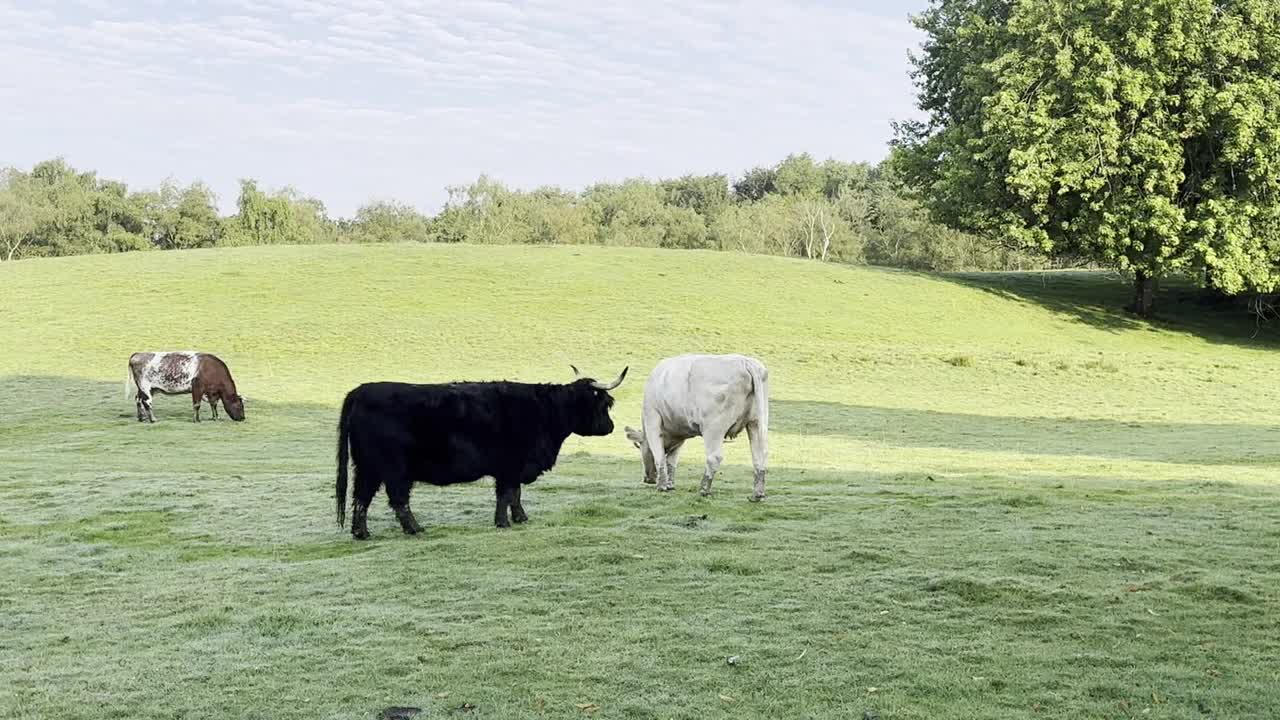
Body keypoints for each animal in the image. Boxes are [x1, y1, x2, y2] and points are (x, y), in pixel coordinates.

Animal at [335, 366, 624, 535]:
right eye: (604, 404)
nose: (610, 427)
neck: (543, 411)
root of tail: (361, 390)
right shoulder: (510, 465)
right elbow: (507, 494)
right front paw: (504, 522)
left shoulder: (511, 468)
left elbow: (514, 494)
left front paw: (520, 518)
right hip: (393, 469)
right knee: (397, 499)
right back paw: (415, 529)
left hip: (367, 468)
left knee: (361, 497)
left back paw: (361, 533)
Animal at [622, 353, 762, 499]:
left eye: (639, 446)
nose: (647, 479)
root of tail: (745, 362)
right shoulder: (679, 434)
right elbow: (672, 461)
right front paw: (670, 485)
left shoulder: (652, 418)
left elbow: (659, 456)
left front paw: (661, 486)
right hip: (756, 422)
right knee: (759, 456)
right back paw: (757, 495)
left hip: (713, 428)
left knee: (714, 457)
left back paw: (704, 489)